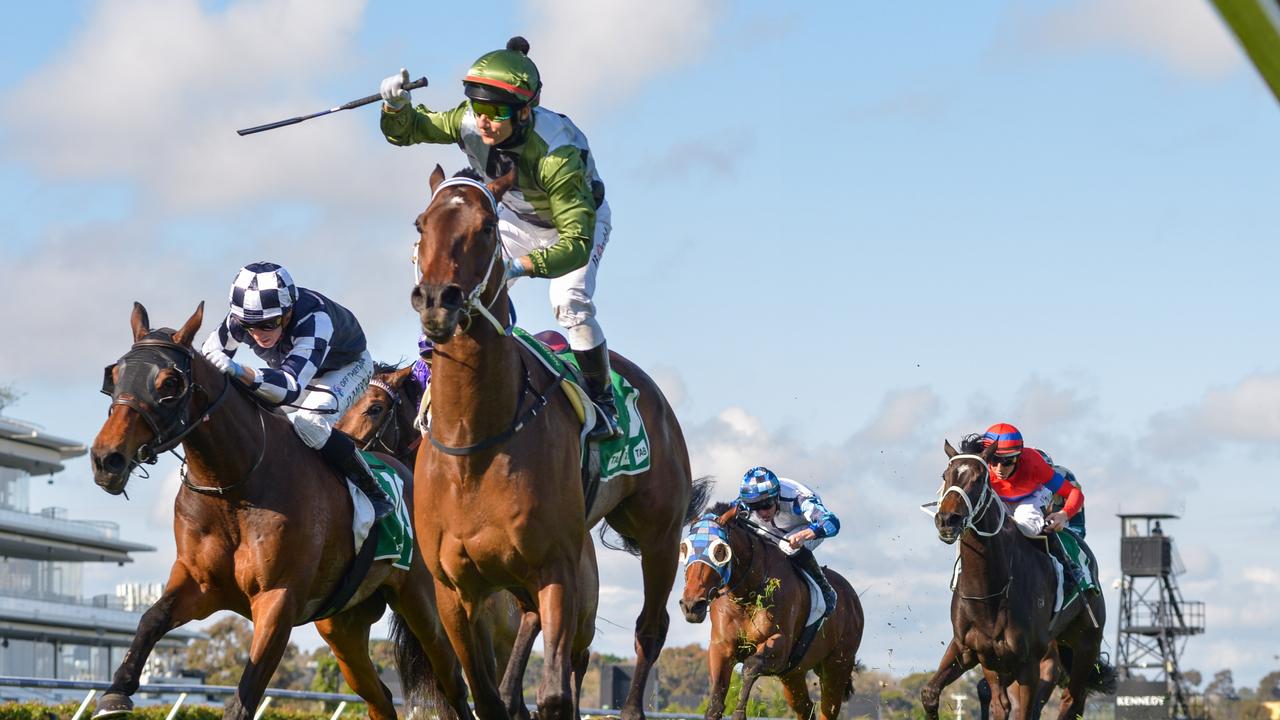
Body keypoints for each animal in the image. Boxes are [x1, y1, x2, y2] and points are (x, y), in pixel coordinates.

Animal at [88, 302, 471, 717]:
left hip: (423, 605)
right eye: (114, 376)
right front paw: (115, 693)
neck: (233, 487)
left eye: (169, 383)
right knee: (380, 698)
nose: (106, 459)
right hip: (343, 625)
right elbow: (150, 619)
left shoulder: (277, 601)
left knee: (453, 682)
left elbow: (243, 699)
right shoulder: (197, 584)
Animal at [409, 166, 711, 717]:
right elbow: (487, 696)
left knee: (650, 629)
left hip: (658, 534)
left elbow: (554, 694)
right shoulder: (454, 590)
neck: (474, 443)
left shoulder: (557, 567)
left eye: (487, 227)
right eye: (422, 224)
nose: (438, 300)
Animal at [675, 499, 865, 717]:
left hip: (837, 667)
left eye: (720, 551)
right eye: (684, 549)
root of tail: (852, 597)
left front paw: (739, 713)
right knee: (806, 708)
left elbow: (750, 667)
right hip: (793, 674)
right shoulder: (721, 647)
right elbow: (715, 702)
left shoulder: (780, 647)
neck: (747, 595)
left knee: (829, 708)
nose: (691, 605)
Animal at [921, 438, 1111, 717]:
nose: (947, 519)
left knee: (1072, 700)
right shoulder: (977, 652)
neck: (989, 592)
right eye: (945, 476)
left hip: (1085, 643)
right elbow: (932, 694)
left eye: (979, 479)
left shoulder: (1028, 662)